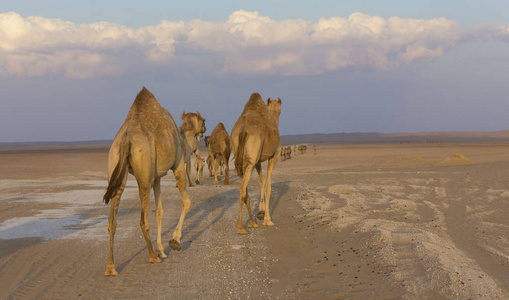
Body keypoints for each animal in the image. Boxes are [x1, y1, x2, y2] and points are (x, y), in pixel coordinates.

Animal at [103, 86, 192, 276]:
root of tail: (126, 137)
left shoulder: (156, 176)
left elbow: (159, 211)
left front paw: (163, 250)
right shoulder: (178, 165)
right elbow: (187, 202)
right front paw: (175, 241)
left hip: (117, 166)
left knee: (112, 219)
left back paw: (111, 267)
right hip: (144, 173)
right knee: (143, 219)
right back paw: (152, 256)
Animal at [231, 92, 282, 233]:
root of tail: (243, 129)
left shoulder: (258, 160)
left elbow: (262, 181)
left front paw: (261, 212)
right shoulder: (274, 155)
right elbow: (268, 186)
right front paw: (268, 220)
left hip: (243, 159)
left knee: (245, 189)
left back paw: (252, 223)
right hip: (251, 160)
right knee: (242, 189)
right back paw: (241, 228)